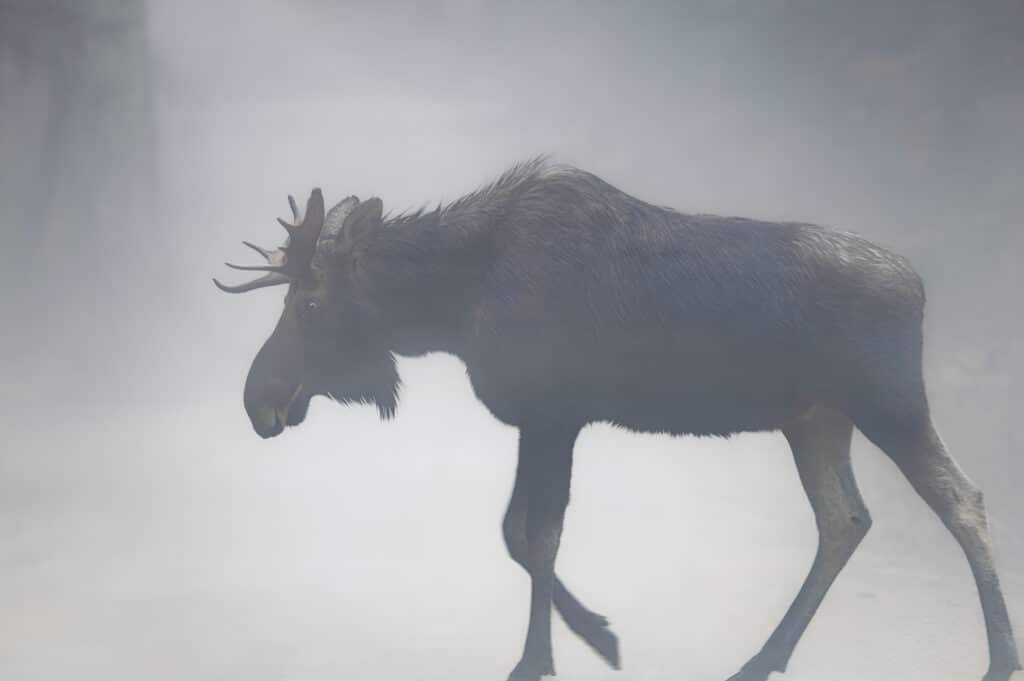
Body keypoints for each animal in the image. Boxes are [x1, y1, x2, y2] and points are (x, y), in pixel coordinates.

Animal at [214, 159, 1020, 681]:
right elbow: (516, 534)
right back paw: (760, 659)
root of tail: (917, 287)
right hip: (815, 418)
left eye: (309, 303)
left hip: (888, 403)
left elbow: (537, 537)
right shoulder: (542, 419)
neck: (451, 302)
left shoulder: (554, 413)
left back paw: (998, 657)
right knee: (844, 518)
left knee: (961, 499)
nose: (259, 398)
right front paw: (595, 635)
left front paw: (546, 655)